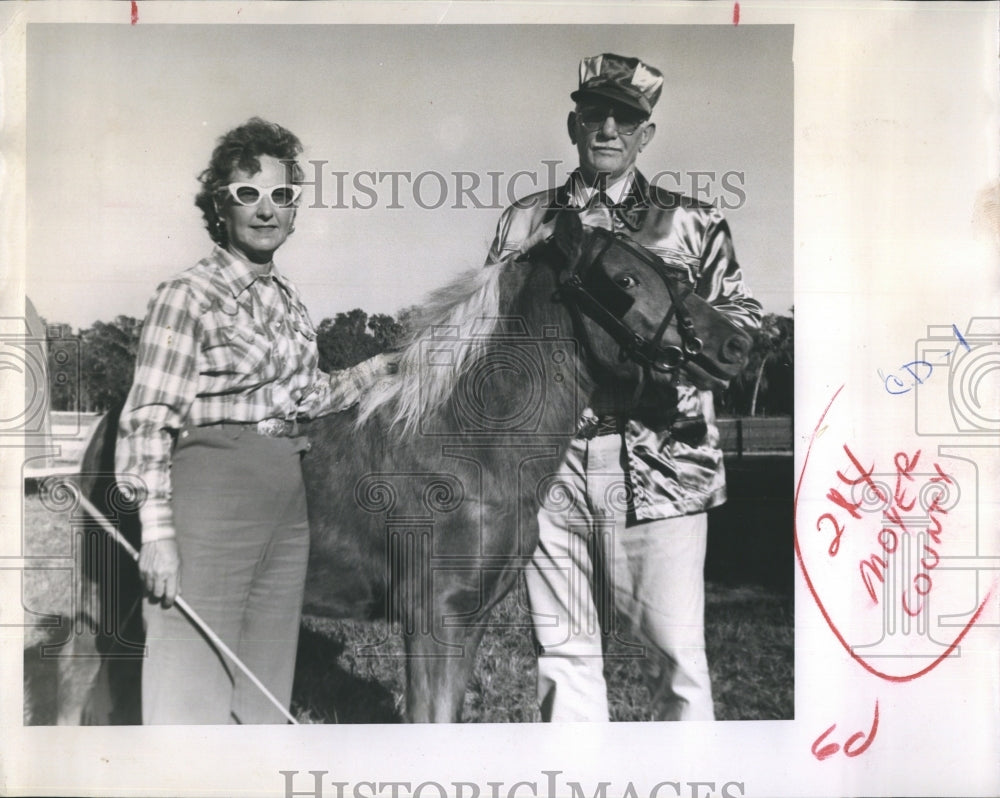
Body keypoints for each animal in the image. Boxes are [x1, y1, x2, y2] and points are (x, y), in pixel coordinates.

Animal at [47, 212, 752, 724]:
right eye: (624, 281)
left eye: (673, 268)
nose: (737, 343)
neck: (468, 448)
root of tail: (110, 420)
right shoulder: (431, 618)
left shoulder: (468, 620)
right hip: (108, 593)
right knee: (77, 680)